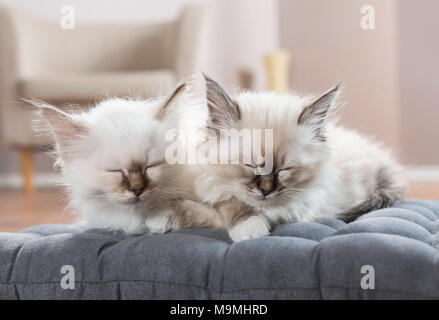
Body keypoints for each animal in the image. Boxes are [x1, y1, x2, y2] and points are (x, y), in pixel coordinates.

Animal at [188, 74, 410, 240]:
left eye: (284, 170)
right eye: (251, 166)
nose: (266, 191)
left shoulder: (302, 206)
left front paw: (253, 229)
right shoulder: (204, 183)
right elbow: (229, 201)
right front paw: (250, 227)